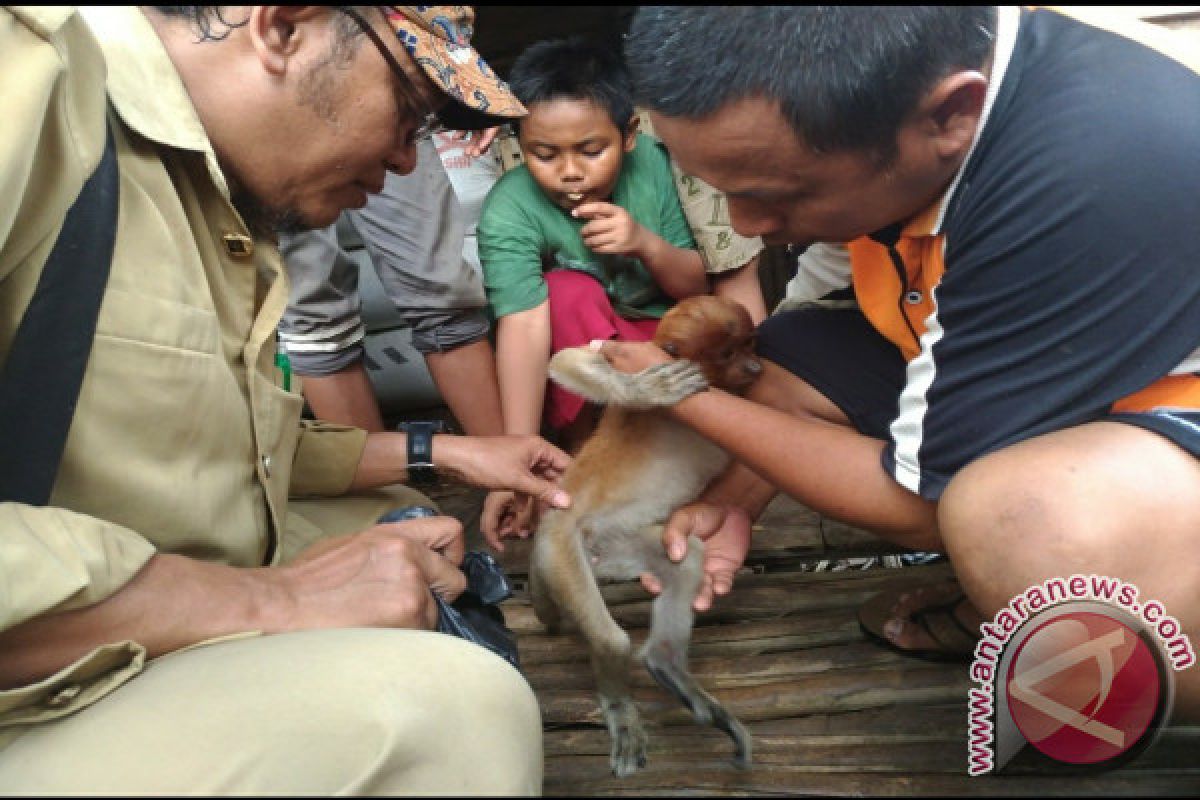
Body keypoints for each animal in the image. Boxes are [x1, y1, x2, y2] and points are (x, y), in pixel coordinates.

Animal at [532, 292, 763, 777]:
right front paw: (646, 392)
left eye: (749, 344)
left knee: (687, 554)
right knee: (612, 639)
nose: (755, 368)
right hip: (559, 549)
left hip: (618, 547)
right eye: (726, 354)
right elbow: (566, 360)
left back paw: (667, 665)